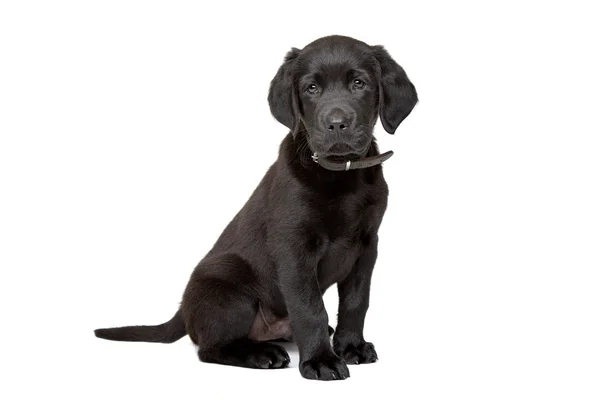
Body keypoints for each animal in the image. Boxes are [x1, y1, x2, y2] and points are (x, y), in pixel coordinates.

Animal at [95, 35, 418, 382]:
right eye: (311, 88)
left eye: (359, 83)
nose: (337, 124)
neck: (339, 174)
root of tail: (183, 310)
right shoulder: (294, 248)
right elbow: (310, 308)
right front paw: (321, 360)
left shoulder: (366, 245)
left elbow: (356, 301)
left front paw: (350, 346)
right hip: (229, 285)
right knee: (210, 348)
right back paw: (262, 354)